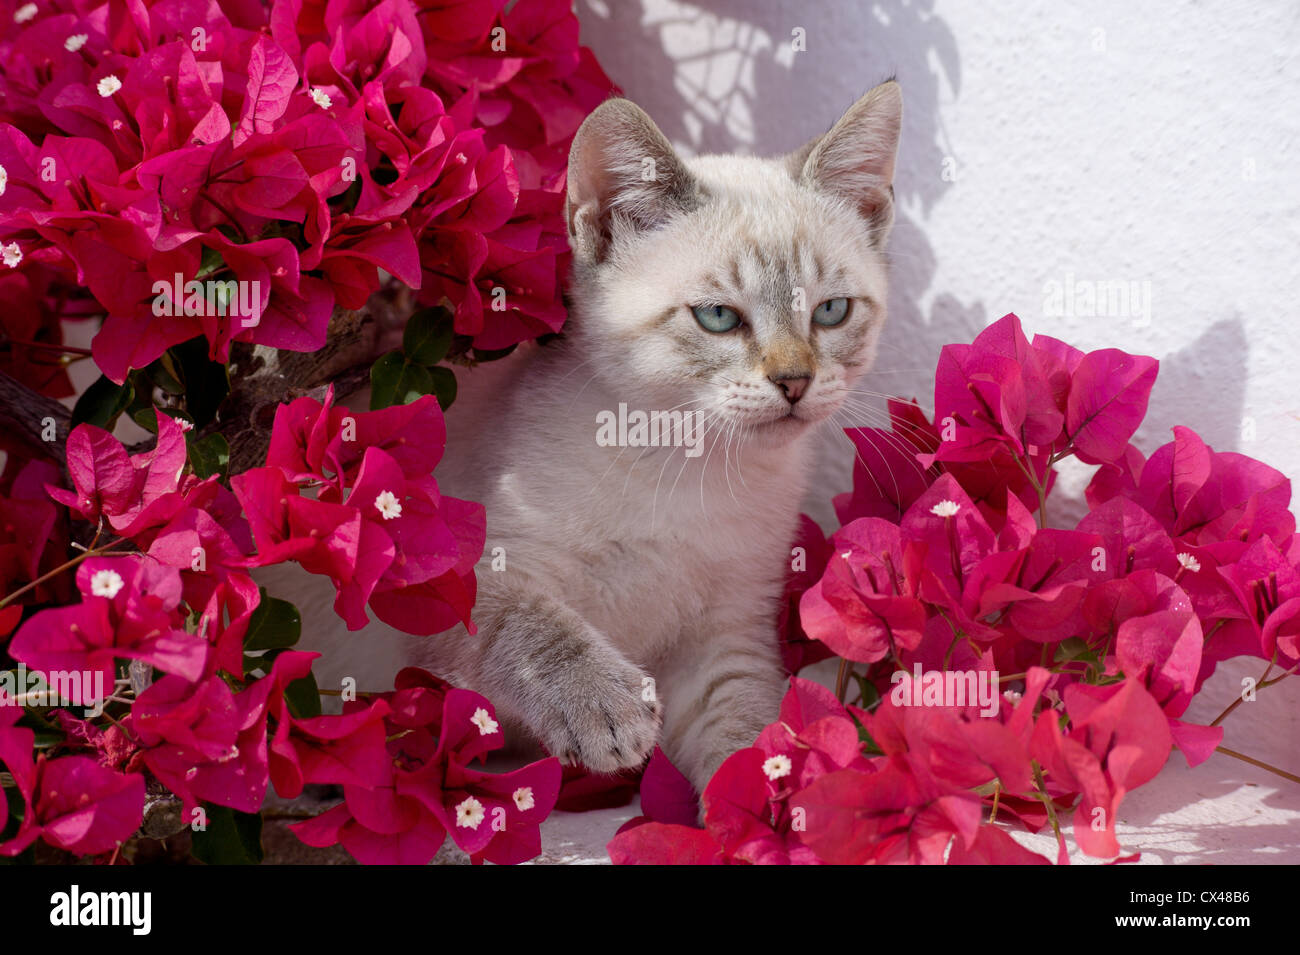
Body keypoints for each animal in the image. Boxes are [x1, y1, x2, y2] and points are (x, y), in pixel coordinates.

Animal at [271, 78, 904, 795]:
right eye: (718, 317)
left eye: (831, 312)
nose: (795, 382)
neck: (689, 465)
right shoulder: (458, 580)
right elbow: (534, 629)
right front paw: (607, 709)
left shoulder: (724, 636)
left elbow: (745, 730)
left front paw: (772, 798)